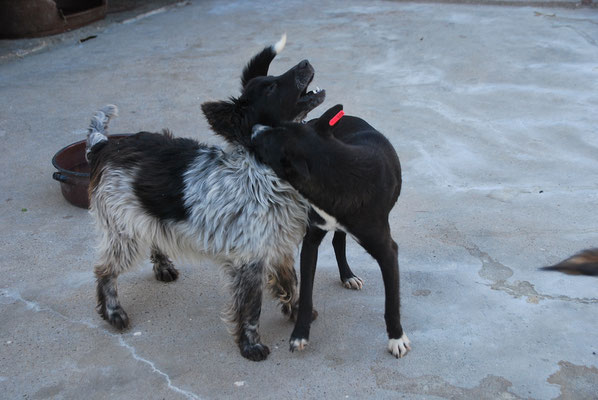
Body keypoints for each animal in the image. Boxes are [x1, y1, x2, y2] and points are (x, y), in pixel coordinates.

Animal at [252, 104, 412, 358]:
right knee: (338, 241)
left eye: (269, 141)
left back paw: (348, 275)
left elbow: (391, 302)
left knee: (339, 240)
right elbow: (306, 294)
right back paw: (346, 274)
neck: (338, 170)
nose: (255, 128)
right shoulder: (311, 240)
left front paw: (396, 338)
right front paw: (300, 334)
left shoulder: (387, 252)